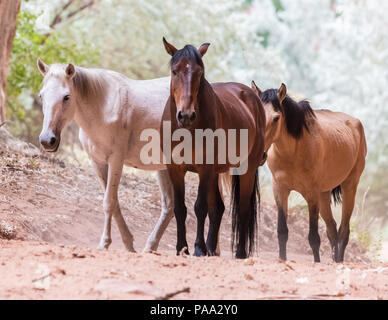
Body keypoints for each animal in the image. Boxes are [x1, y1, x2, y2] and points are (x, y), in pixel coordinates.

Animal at [36, 58, 174, 251]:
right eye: (41, 96)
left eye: (66, 97)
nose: (47, 140)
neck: (103, 109)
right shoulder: (97, 162)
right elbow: (114, 203)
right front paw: (128, 243)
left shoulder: (116, 160)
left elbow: (109, 202)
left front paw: (104, 244)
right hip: (164, 167)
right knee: (169, 207)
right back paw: (150, 248)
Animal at [160, 38, 264, 258]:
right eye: (175, 71)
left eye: (200, 72)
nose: (186, 115)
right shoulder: (175, 169)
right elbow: (180, 208)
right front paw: (182, 248)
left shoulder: (205, 169)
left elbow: (200, 207)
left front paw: (198, 248)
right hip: (216, 173)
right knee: (218, 208)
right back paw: (211, 248)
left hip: (246, 169)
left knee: (242, 209)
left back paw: (239, 252)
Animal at [252, 80, 366, 262]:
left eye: (276, 118)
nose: (260, 153)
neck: (294, 152)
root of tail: (356, 123)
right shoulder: (280, 190)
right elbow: (282, 231)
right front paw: (282, 259)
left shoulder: (311, 194)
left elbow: (314, 238)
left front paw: (317, 262)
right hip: (324, 194)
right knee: (332, 229)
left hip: (349, 186)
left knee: (343, 230)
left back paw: (339, 261)